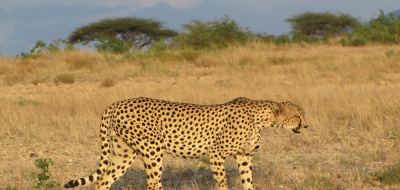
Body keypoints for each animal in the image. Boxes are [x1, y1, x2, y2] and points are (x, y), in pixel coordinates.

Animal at [65, 97, 310, 189]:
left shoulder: (244, 156)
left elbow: (248, 182)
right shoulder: (216, 154)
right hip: (152, 150)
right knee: (153, 183)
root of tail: (116, 103)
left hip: (124, 153)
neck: (261, 118)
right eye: (298, 116)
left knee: (102, 181)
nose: (306, 126)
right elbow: (222, 183)